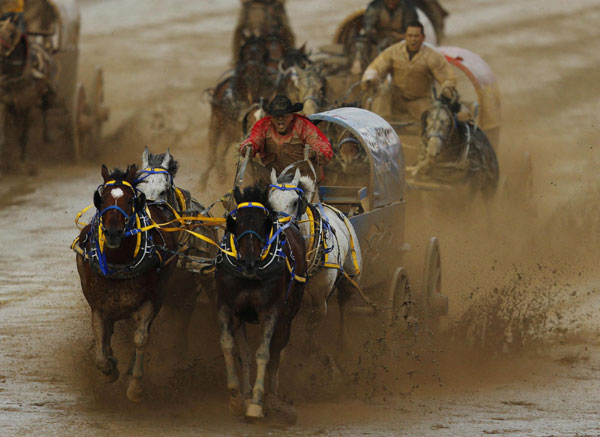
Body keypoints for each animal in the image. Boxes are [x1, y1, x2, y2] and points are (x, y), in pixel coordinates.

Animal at [73, 164, 178, 402]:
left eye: (130, 200)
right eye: (101, 199)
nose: (113, 232)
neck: (119, 262)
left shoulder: (150, 300)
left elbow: (140, 338)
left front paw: (135, 386)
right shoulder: (99, 306)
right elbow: (100, 342)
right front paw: (109, 370)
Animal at [216, 184, 308, 422]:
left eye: (263, 223)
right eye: (236, 222)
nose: (249, 262)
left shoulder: (271, 312)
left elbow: (263, 353)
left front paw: (257, 403)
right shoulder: (227, 307)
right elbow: (229, 345)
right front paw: (236, 396)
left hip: (288, 315)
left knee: (276, 353)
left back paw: (273, 398)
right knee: (246, 353)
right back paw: (247, 393)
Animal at [270, 165, 364, 350]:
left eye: (295, 202)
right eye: (269, 202)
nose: (279, 231)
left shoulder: (319, 303)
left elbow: (311, 328)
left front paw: (311, 349)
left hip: (350, 280)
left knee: (343, 305)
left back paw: (343, 341)